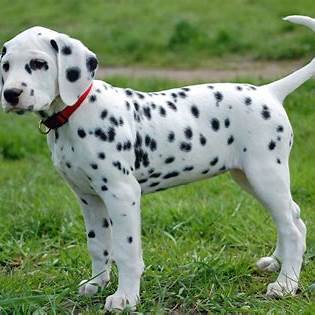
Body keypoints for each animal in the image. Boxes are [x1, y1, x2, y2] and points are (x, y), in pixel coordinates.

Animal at [0, 17, 314, 314]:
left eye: (38, 64)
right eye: (5, 66)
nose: (11, 94)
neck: (75, 112)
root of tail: (268, 92)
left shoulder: (122, 194)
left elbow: (125, 250)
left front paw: (125, 298)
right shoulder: (88, 197)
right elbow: (98, 244)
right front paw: (96, 283)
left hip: (265, 174)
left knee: (292, 228)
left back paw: (285, 285)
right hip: (249, 177)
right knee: (294, 217)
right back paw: (277, 263)